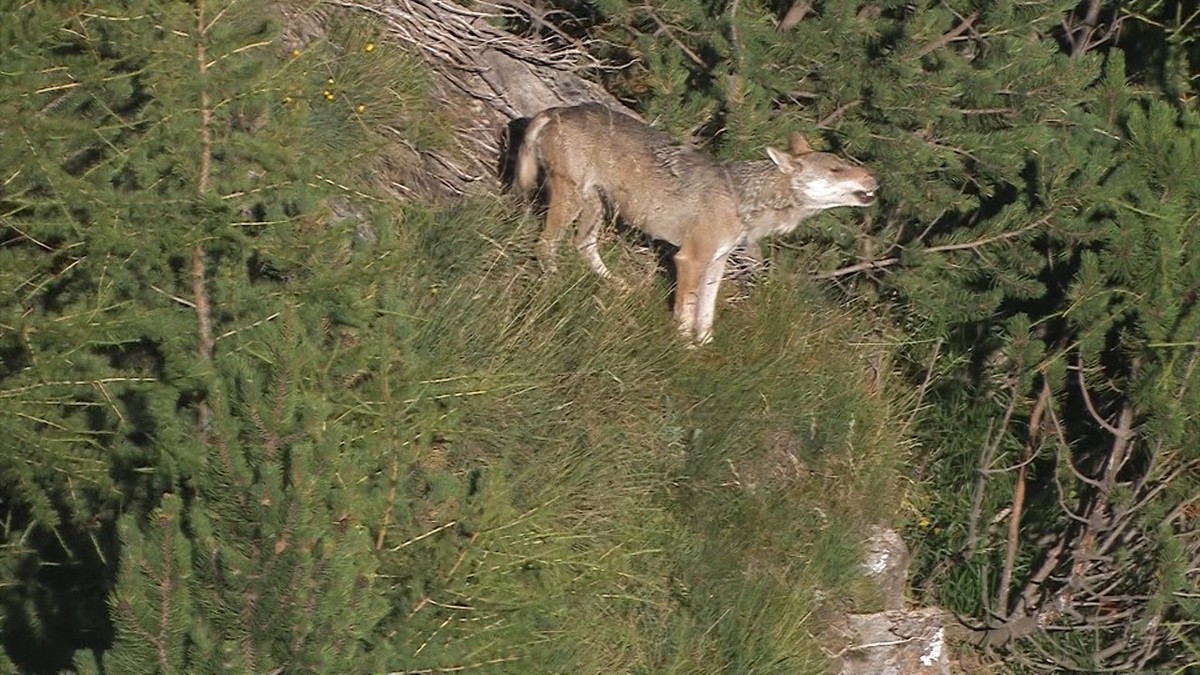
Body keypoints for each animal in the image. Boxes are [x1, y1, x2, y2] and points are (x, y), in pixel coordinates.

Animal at [515, 103, 878, 344]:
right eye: (836, 170)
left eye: (845, 164)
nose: (874, 177)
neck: (743, 200)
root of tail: (556, 109)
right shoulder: (690, 258)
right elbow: (685, 313)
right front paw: (682, 347)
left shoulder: (716, 263)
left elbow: (706, 314)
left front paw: (703, 348)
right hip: (572, 202)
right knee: (546, 245)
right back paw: (554, 282)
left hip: (596, 208)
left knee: (582, 245)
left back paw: (616, 283)